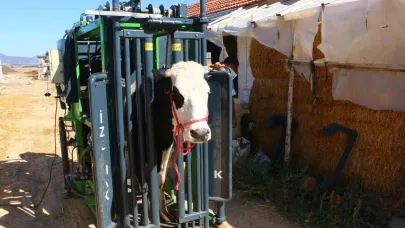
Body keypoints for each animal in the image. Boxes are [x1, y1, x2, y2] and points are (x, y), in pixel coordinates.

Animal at [132, 61, 211, 223]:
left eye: (207, 92)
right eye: (176, 94)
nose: (200, 133)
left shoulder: (166, 146)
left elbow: (160, 180)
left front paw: (163, 214)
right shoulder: (137, 151)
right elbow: (145, 180)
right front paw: (148, 219)